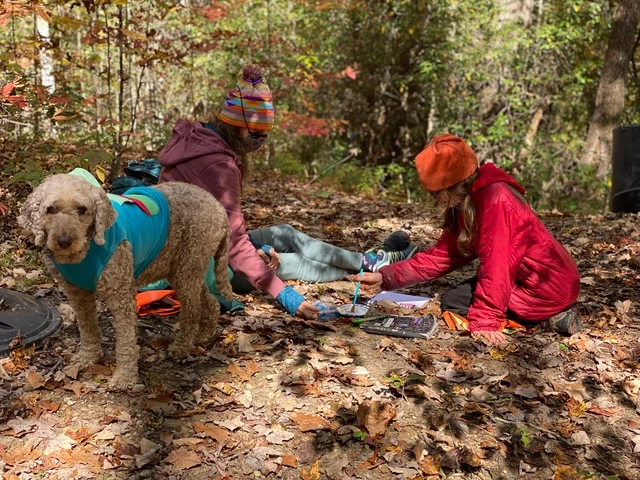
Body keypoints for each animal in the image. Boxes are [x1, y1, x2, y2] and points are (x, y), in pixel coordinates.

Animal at [16, 175, 232, 390]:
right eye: (50, 209)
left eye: (82, 209)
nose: (63, 241)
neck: (84, 252)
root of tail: (219, 207)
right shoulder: (77, 295)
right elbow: (88, 329)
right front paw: (88, 357)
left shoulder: (121, 296)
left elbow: (126, 342)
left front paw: (124, 377)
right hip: (185, 269)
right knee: (210, 300)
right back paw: (205, 334)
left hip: (187, 268)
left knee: (192, 311)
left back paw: (182, 347)